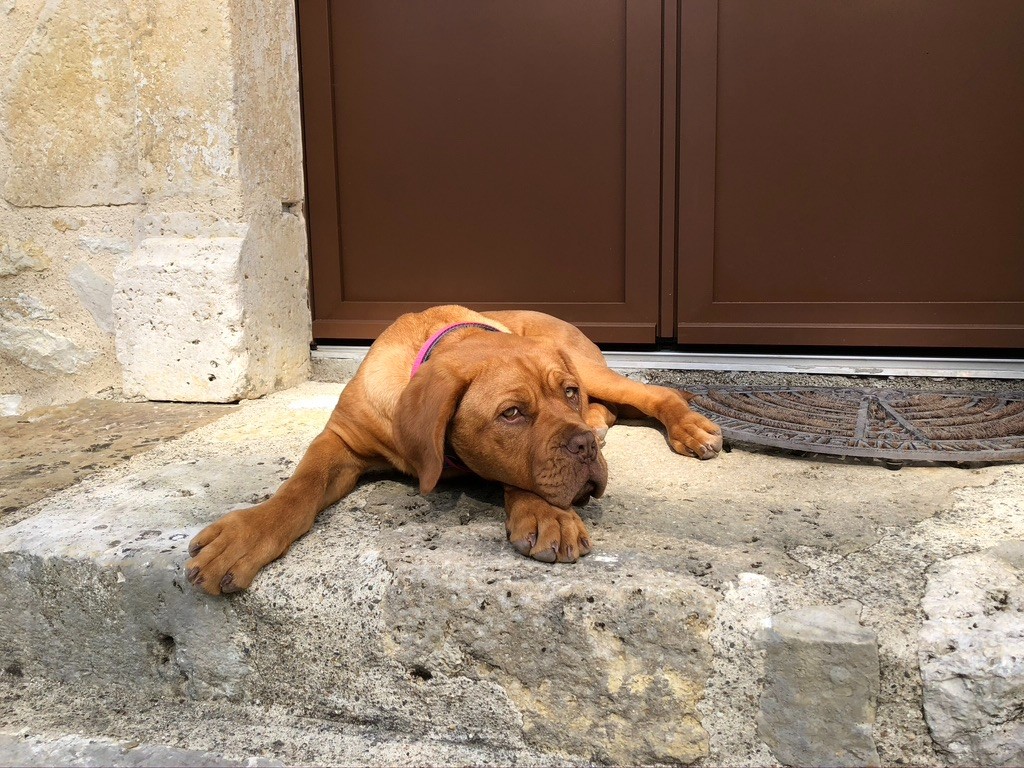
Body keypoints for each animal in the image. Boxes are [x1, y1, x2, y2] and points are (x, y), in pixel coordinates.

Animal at [186, 305, 720, 593]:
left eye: (566, 393)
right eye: (512, 414)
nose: (584, 448)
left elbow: (518, 475)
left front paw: (547, 514)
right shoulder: (341, 439)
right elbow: (300, 486)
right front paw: (247, 534)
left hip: (588, 365)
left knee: (652, 394)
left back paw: (689, 429)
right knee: (608, 407)